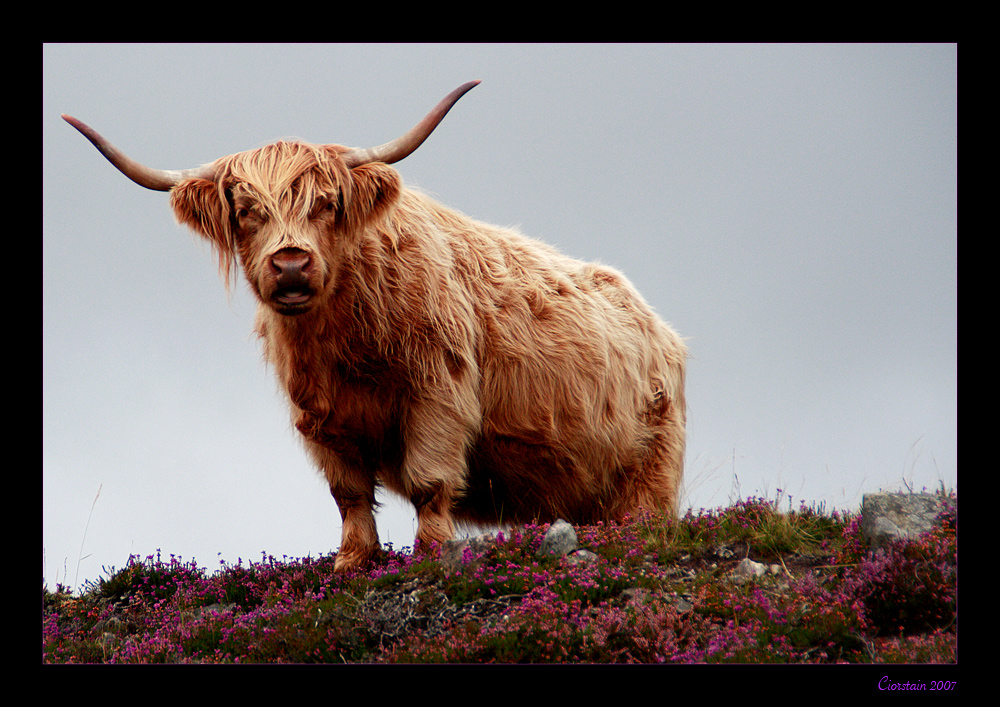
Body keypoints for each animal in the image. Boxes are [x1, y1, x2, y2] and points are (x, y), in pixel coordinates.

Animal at [64, 80, 688, 572]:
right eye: (246, 210)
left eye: (326, 202)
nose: (291, 264)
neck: (343, 339)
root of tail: (660, 328)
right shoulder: (320, 419)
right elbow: (349, 494)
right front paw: (352, 562)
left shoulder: (438, 394)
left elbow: (429, 482)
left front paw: (432, 554)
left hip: (650, 473)